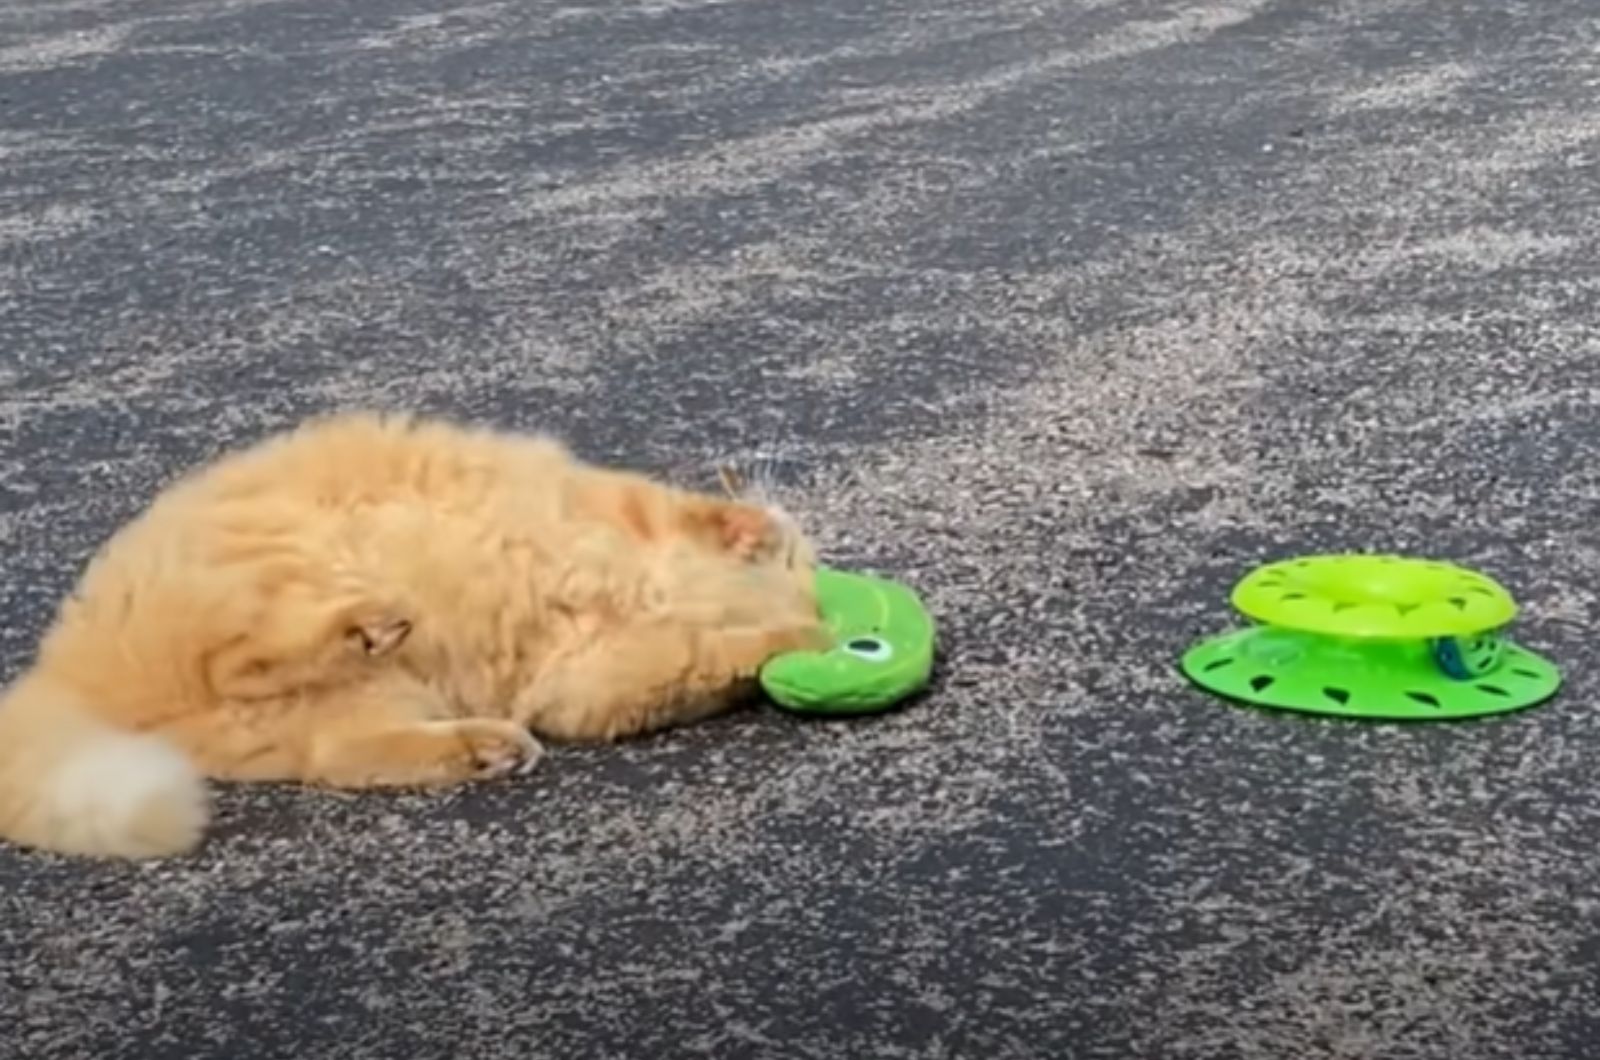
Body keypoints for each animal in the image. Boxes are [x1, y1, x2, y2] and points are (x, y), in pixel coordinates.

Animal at [0, 413, 825, 864]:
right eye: (802, 558)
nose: (812, 573)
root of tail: (57, 671)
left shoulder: (595, 683)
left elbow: (710, 657)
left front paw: (797, 635)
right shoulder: (615, 512)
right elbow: (684, 522)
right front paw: (795, 603)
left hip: (348, 709)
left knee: (343, 754)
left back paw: (487, 748)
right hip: (278, 564)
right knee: (250, 655)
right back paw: (370, 623)